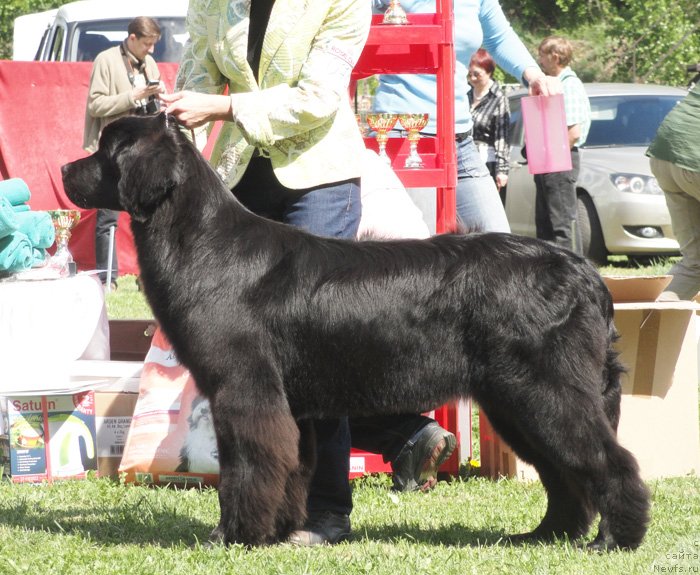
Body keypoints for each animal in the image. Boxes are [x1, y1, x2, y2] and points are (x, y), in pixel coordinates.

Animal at [63, 112, 648, 548]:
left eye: (107, 150)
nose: (66, 169)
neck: (202, 241)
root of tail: (584, 272)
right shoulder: (290, 406)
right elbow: (290, 466)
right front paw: (282, 532)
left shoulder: (244, 390)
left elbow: (247, 466)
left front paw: (233, 536)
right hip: (516, 400)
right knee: (564, 472)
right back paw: (545, 535)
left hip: (546, 390)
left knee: (608, 460)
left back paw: (614, 540)